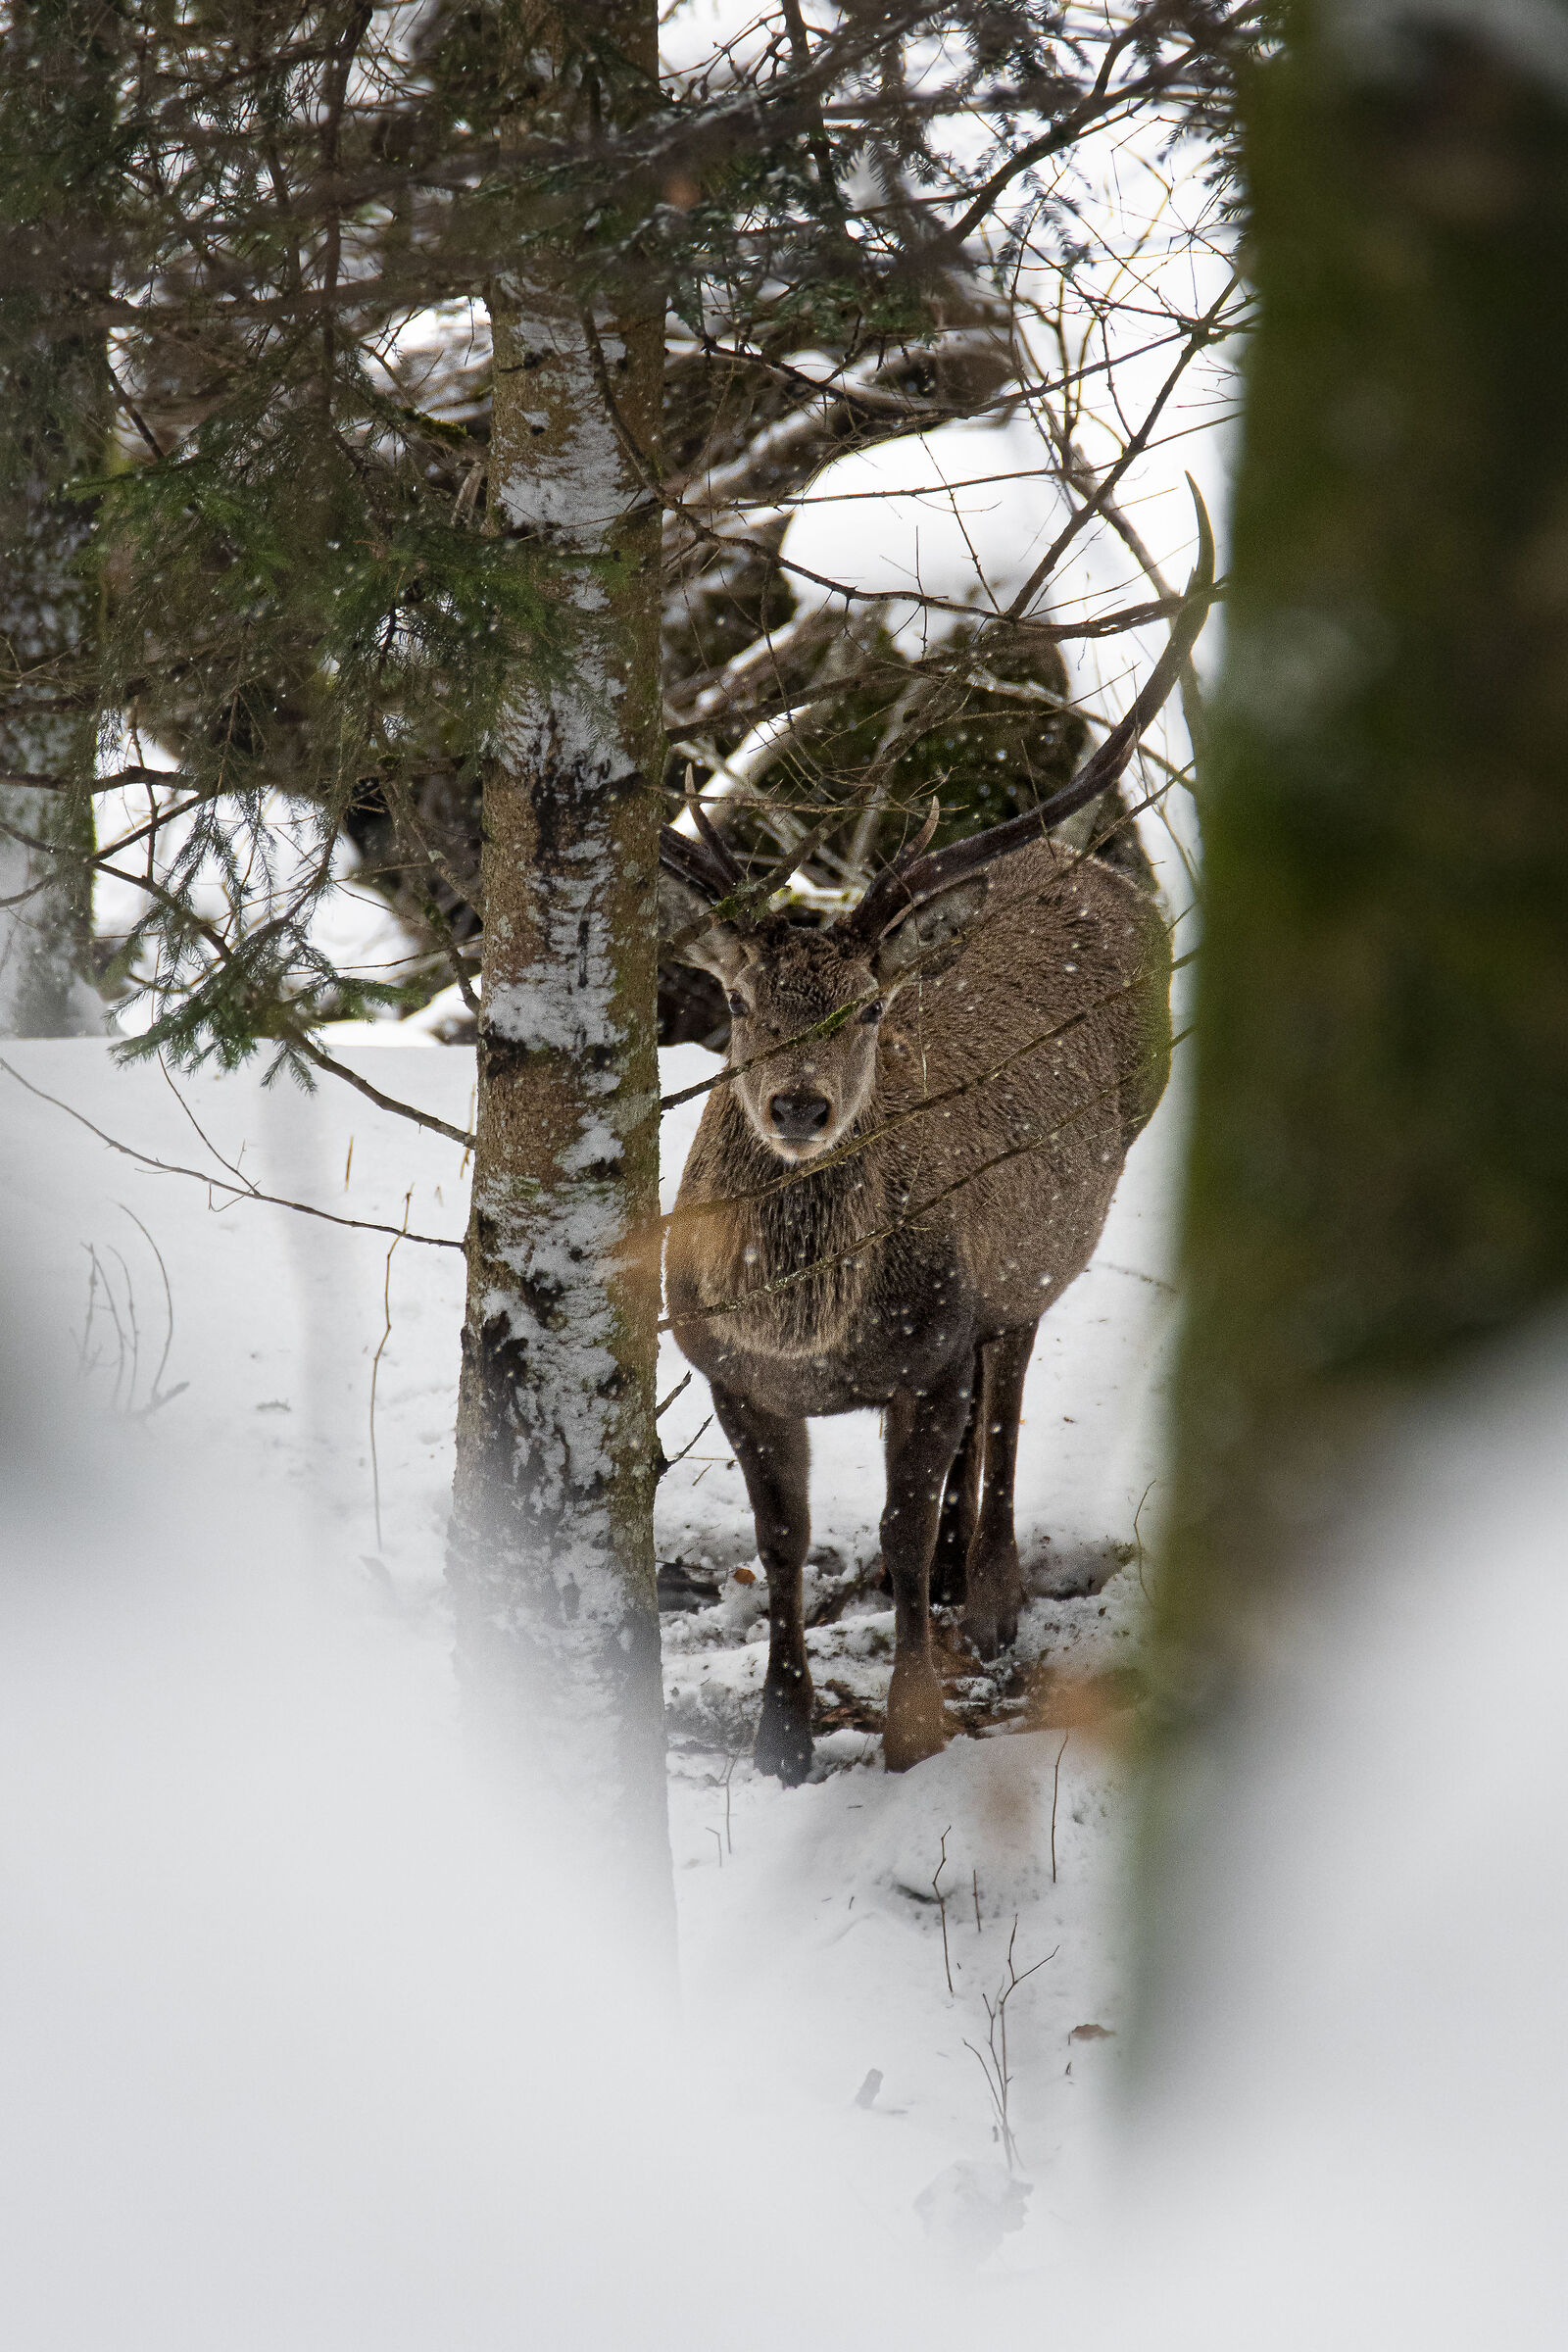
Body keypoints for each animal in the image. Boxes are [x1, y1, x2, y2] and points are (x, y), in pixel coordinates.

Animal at [658, 517, 1210, 1783]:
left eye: (868, 1009)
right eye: (743, 1004)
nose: (798, 1108)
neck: (811, 1344)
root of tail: (1088, 862)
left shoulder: (931, 1344)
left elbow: (901, 1531)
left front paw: (913, 1730)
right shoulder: (723, 1369)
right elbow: (782, 1541)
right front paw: (781, 1737)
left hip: (1043, 1239)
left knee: (1012, 1369)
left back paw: (990, 1587)